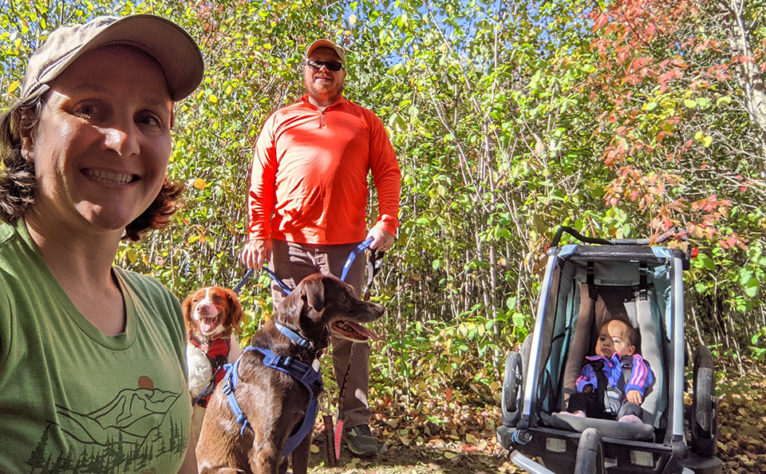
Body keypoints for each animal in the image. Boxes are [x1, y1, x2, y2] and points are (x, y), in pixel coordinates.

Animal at [194, 274, 382, 474]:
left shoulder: (304, 437)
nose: (381, 310)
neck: (293, 347)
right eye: (344, 297)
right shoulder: (265, 450)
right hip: (231, 470)